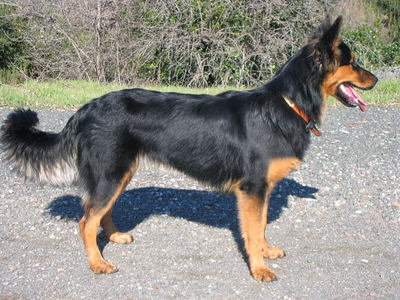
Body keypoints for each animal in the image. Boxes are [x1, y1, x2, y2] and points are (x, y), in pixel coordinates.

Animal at [0, 16, 376, 282]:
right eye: (353, 62)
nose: (376, 80)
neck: (287, 103)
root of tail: (85, 109)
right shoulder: (252, 189)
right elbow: (253, 231)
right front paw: (258, 269)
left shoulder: (263, 190)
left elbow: (263, 227)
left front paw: (267, 252)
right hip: (110, 173)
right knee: (85, 222)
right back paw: (98, 264)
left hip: (119, 172)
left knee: (99, 213)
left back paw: (116, 237)